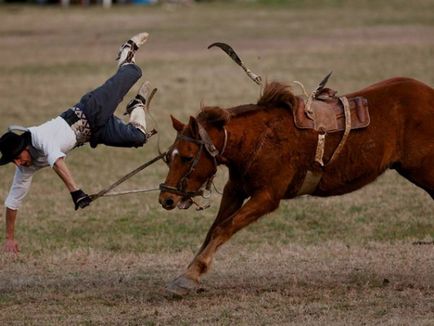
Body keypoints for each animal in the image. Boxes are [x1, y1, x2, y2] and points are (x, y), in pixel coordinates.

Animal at [159, 77, 434, 296]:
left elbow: (224, 228)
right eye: (168, 157)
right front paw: (188, 272)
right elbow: (214, 229)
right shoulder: (235, 190)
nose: (166, 199)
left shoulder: (266, 197)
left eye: (187, 157)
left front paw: (190, 275)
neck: (258, 138)